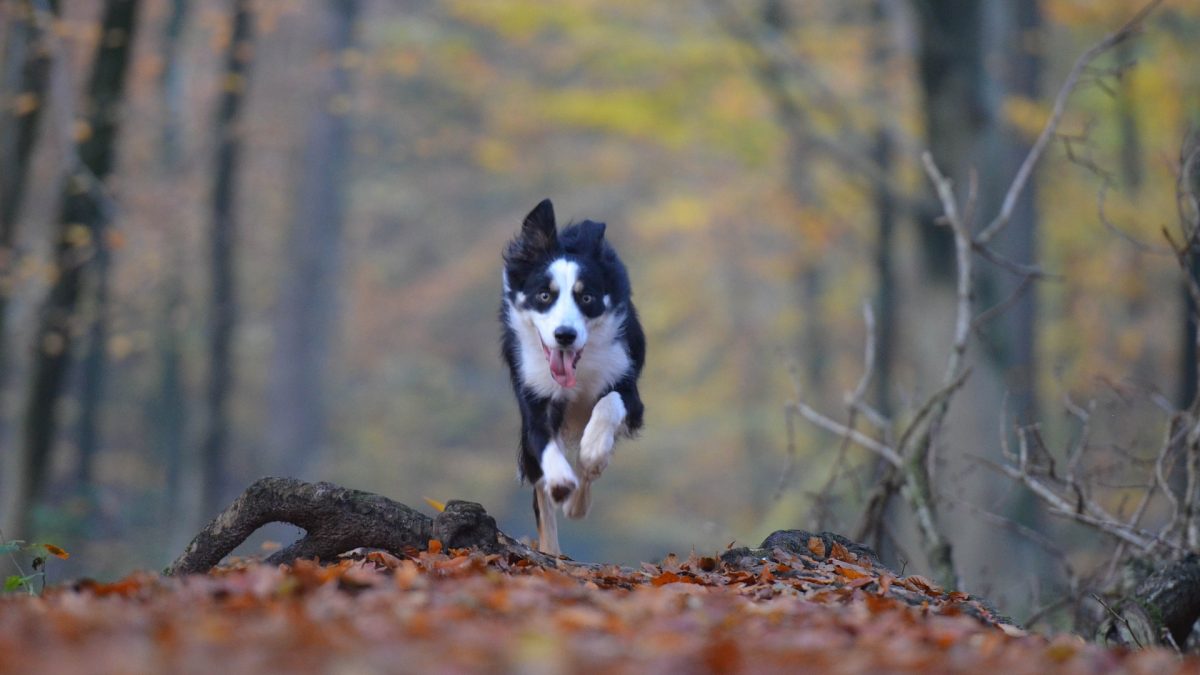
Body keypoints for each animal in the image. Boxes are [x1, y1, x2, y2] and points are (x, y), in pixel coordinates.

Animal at [499, 198, 648, 552]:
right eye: (544, 295)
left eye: (586, 297)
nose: (564, 335)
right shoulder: (534, 393)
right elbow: (543, 443)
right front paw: (560, 480)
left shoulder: (628, 389)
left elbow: (609, 403)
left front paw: (593, 451)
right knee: (541, 493)